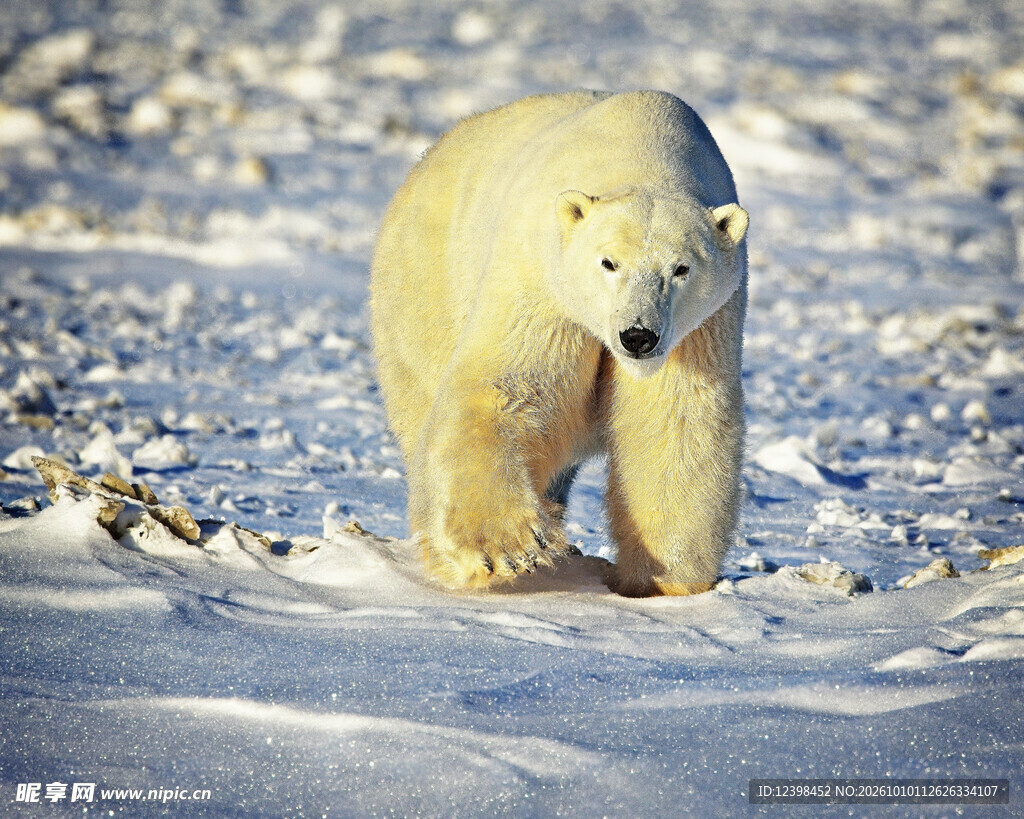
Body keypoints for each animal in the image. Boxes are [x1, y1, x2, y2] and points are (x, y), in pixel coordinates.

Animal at [369, 90, 748, 596]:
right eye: (608, 262)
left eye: (681, 268)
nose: (638, 336)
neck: (644, 150)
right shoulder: (543, 279)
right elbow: (510, 385)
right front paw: (507, 549)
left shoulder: (703, 325)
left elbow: (675, 419)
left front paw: (660, 579)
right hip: (424, 291)